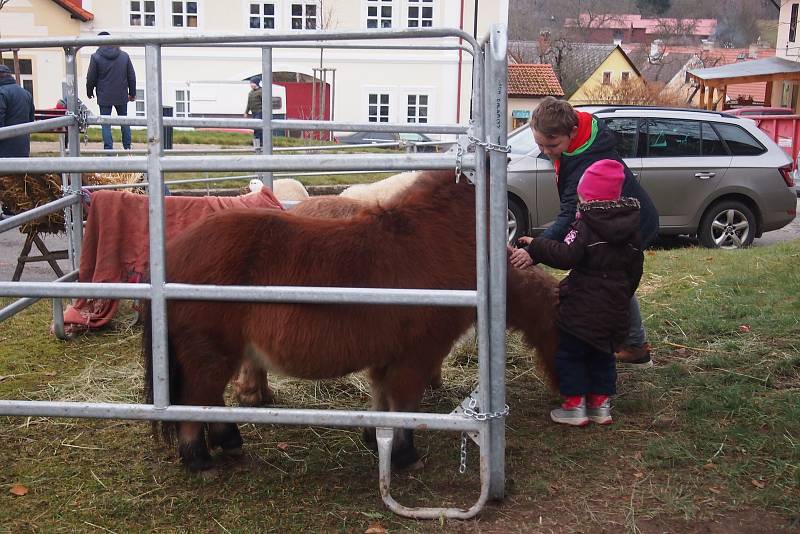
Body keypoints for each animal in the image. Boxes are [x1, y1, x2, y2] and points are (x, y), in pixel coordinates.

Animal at [142, 172, 556, 474]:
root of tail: (174, 252)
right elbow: (405, 401)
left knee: (207, 399)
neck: (436, 241)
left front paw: (378, 440)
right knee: (197, 398)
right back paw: (199, 458)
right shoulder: (417, 355)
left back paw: (227, 442)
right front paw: (405, 455)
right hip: (210, 353)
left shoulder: (389, 357)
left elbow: (383, 399)